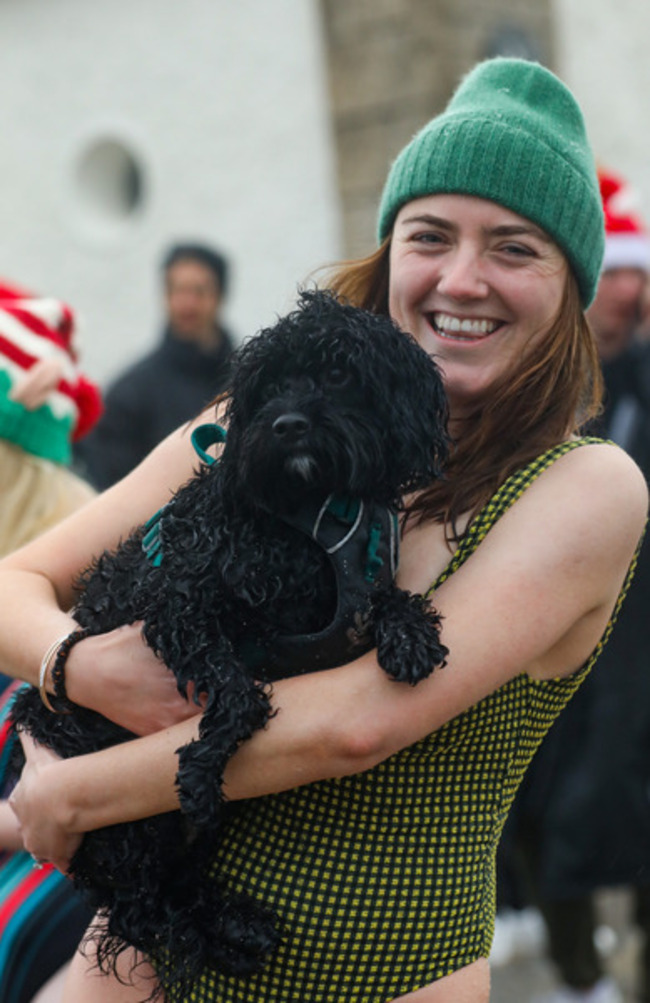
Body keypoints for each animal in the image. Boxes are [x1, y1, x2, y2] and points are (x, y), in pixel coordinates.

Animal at [10, 286, 449, 998]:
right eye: (269, 386)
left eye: (338, 374)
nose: (288, 425)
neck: (306, 514)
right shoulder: (181, 611)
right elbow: (240, 695)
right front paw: (200, 767)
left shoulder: (342, 602)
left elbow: (386, 599)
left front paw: (410, 636)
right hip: (124, 823)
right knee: (140, 910)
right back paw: (228, 931)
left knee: (168, 893)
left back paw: (239, 925)